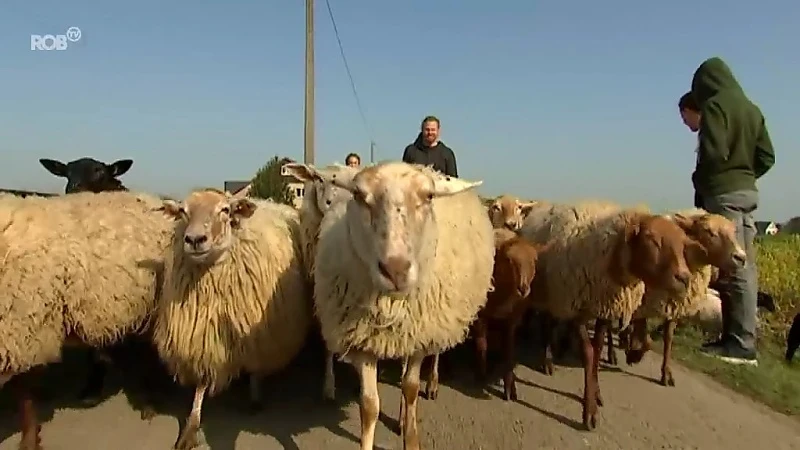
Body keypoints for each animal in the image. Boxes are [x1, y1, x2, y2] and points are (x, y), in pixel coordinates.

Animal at [155, 189, 310, 450]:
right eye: (183, 211)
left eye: (225, 210)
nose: (194, 239)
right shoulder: (202, 334)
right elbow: (201, 383)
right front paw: (191, 426)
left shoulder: (258, 329)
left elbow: (256, 365)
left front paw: (255, 395)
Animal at [516, 200, 704, 428]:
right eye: (651, 239)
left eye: (682, 245)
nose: (684, 278)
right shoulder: (578, 308)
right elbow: (588, 354)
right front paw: (589, 410)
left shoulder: (603, 310)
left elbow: (597, 352)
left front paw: (596, 392)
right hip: (553, 293)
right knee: (546, 324)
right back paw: (547, 360)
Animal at [624, 209, 752, 384]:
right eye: (708, 231)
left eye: (734, 232)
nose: (741, 257)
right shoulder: (644, 301)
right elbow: (646, 338)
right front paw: (635, 355)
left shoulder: (673, 307)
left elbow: (668, 339)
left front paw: (666, 373)